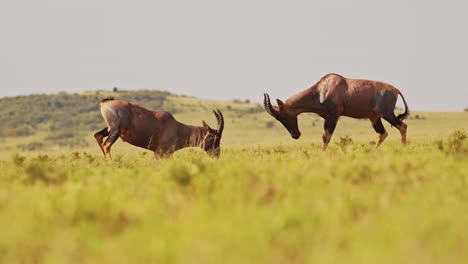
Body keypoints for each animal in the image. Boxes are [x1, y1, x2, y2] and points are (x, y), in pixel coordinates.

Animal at [93, 97, 225, 158]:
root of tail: (105, 103)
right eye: (216, 138)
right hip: (115, 130)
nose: (217, 156)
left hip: (109, 129)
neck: (177, 128)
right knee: (106, 144)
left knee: (98, 136)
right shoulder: (161, 153)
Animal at [264, 73, 410, 150]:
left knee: (402, 126)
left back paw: (403, 148)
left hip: (387, 114)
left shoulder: (334, 116)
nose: (295, 135)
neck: (322, 89)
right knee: (382, 133)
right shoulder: (326, 117)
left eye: (283, 116)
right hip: (374, 117)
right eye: (278, 118)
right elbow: (324, 136)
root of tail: (395, 90)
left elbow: (327, 136)